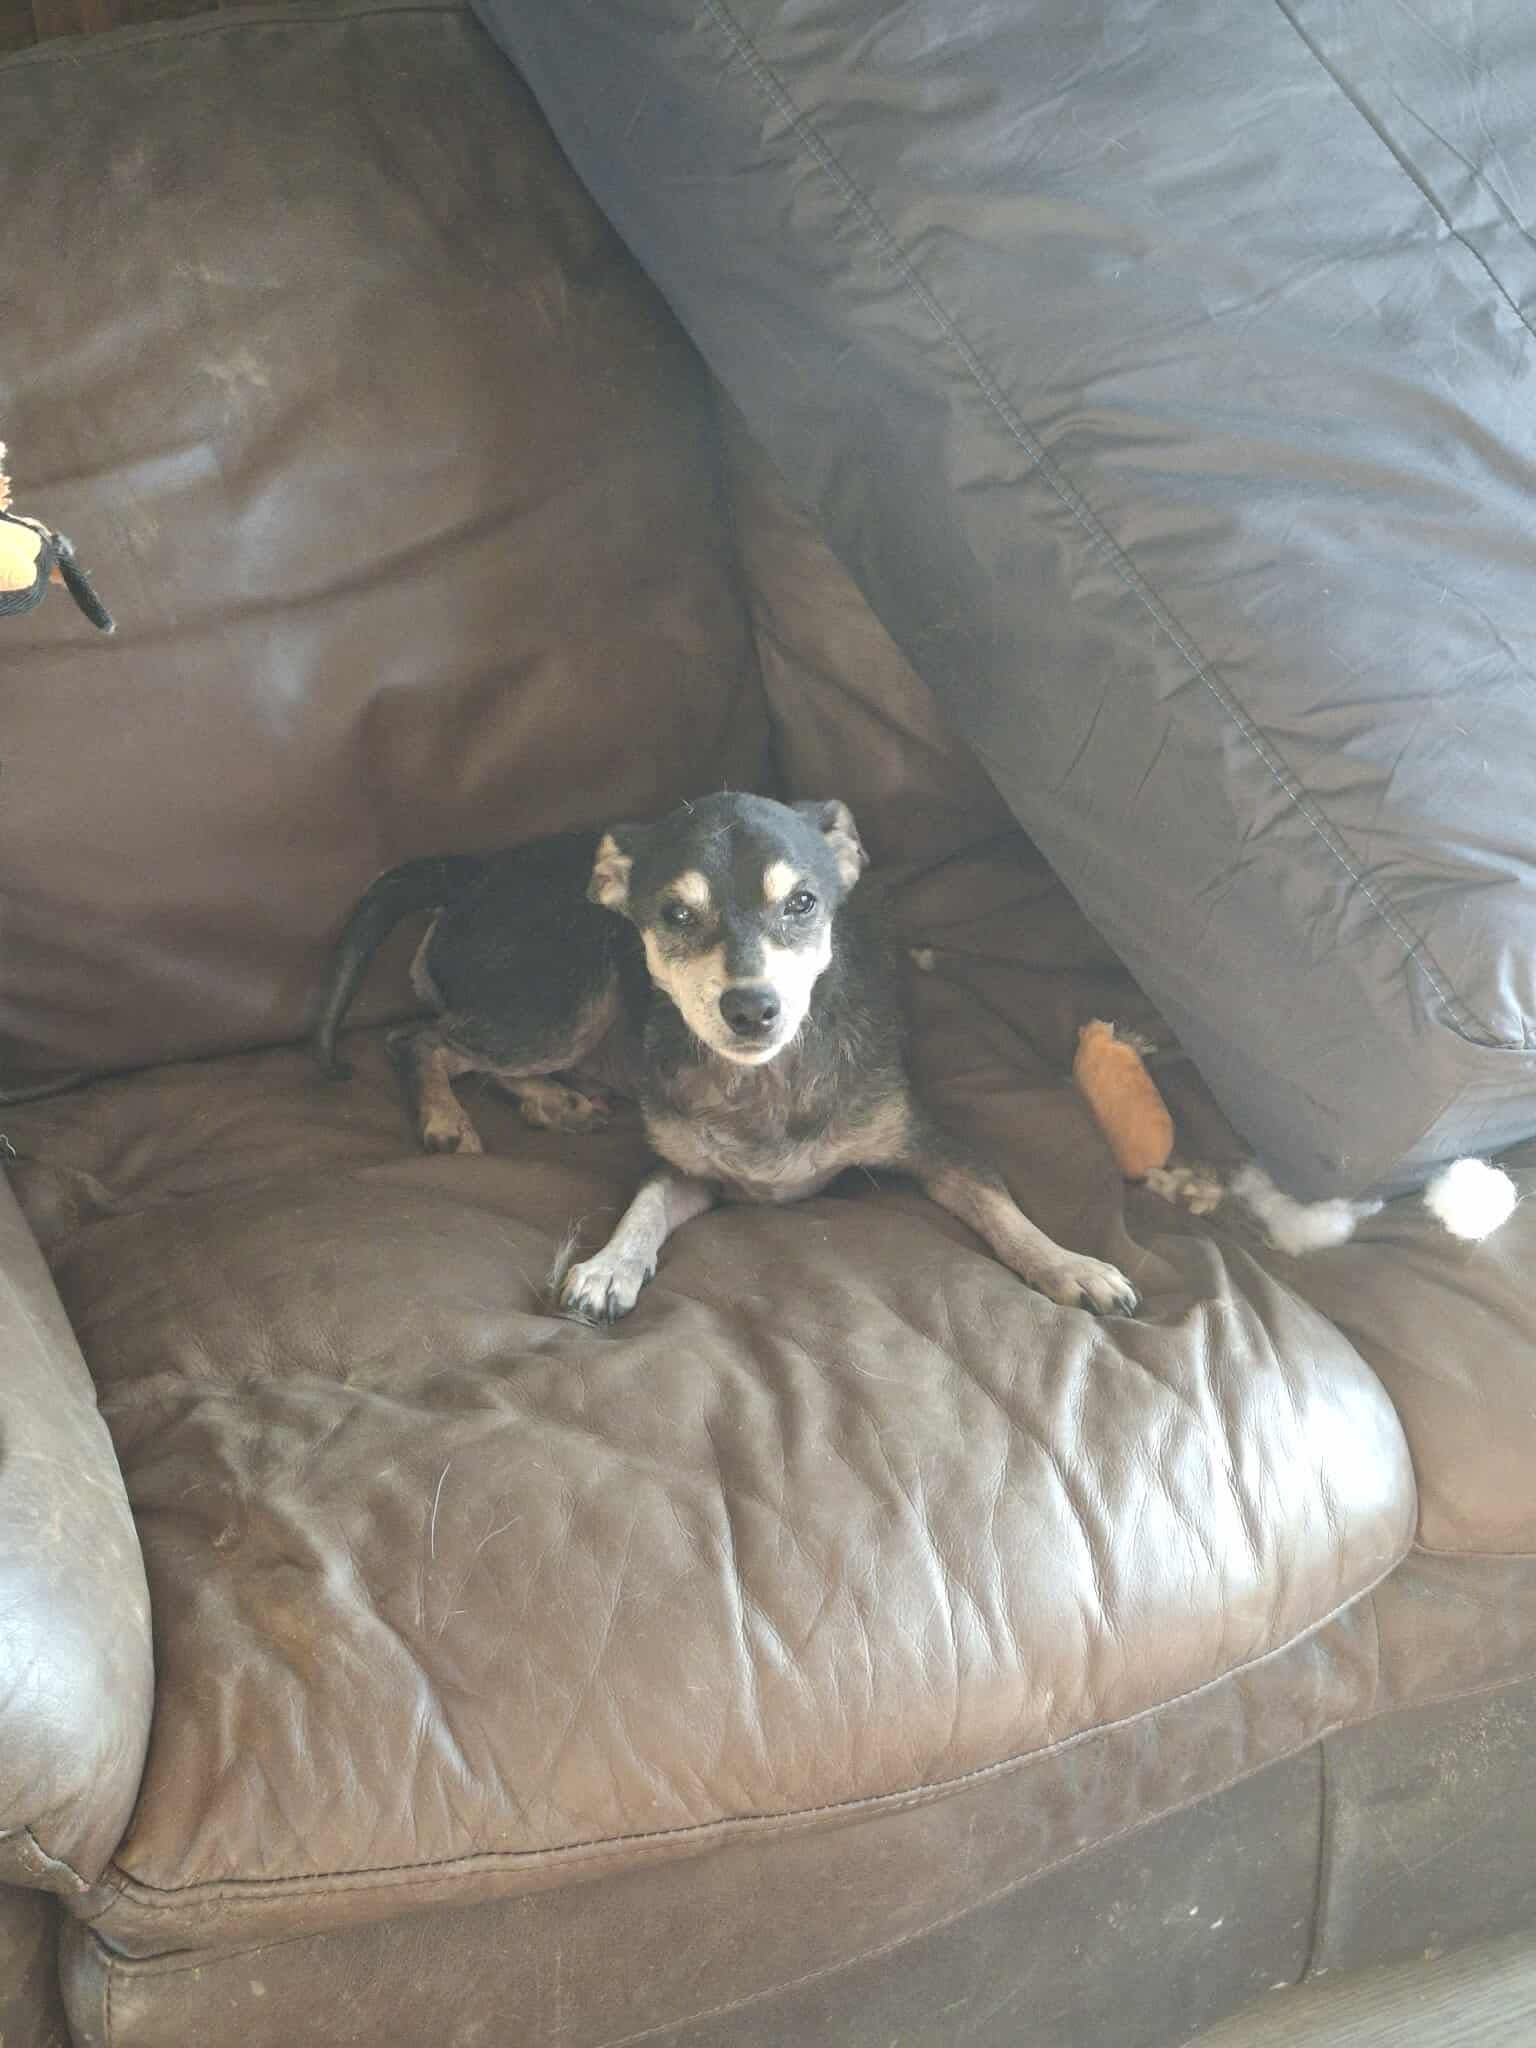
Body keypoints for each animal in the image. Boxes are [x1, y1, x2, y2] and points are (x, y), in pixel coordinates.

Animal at [312, 793, 1140, 1323]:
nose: (751, 1008)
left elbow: (1000, 1205)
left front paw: (1072, 1267)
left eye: (803, 903)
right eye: (675, 915)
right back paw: (454, 1119)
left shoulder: (931, 1144)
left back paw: (555, 1101)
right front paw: (608, 1267)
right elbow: (644, 1205)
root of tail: (472, 871)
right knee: (420, 1039)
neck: (761, 1078)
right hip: (571, 995)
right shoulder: (682, 1167)